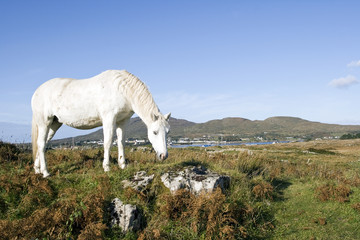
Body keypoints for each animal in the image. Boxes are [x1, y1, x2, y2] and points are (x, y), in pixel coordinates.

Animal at [31, 70, 170, 177]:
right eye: (155, 132)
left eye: (167, 132)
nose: (164, 156)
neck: (122, 89)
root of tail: (37, 91)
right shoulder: (109, 118)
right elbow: (108, 142)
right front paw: (107, 167)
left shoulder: (122, 121)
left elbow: (121, 142)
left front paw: (122, 165)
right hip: (44, 122)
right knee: (41, 144)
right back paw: (45, 172)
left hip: (54, 124)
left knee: (41, 144)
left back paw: (37, 170)